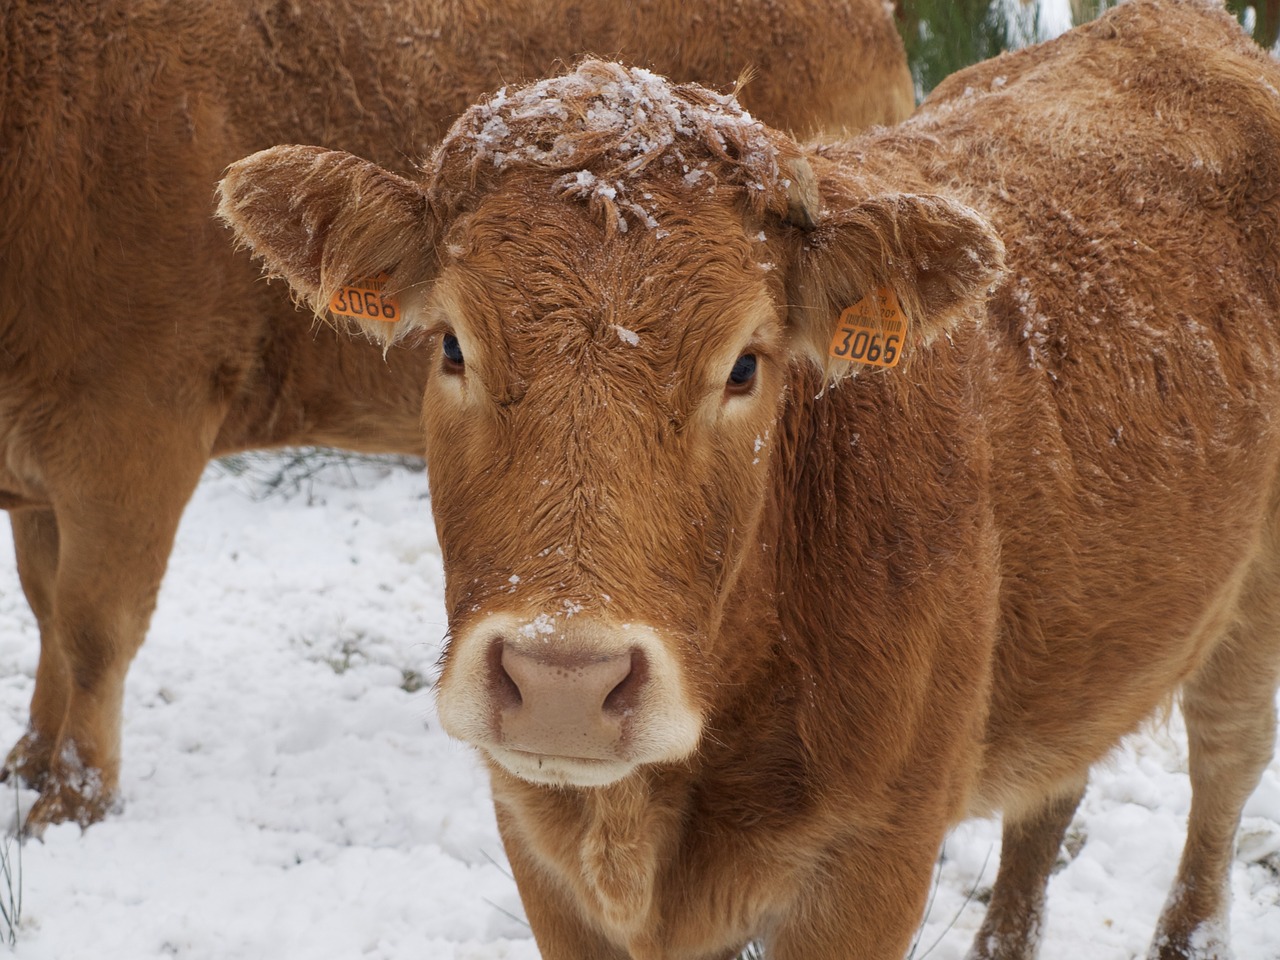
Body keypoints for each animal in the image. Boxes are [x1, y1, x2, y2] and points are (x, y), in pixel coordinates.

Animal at [0, 0, 911, 829]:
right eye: (453, 345)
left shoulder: (135, 424)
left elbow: (92, 629)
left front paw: (73, 800)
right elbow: (44, 609)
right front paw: (30, 762)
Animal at [220, 1, 1280, 960]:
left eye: (743, 364)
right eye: (451, 345)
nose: (565, 680)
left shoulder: (876, 865)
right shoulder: (540, 852)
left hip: (1250, 620)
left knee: (1223, 771)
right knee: (1054, 791)